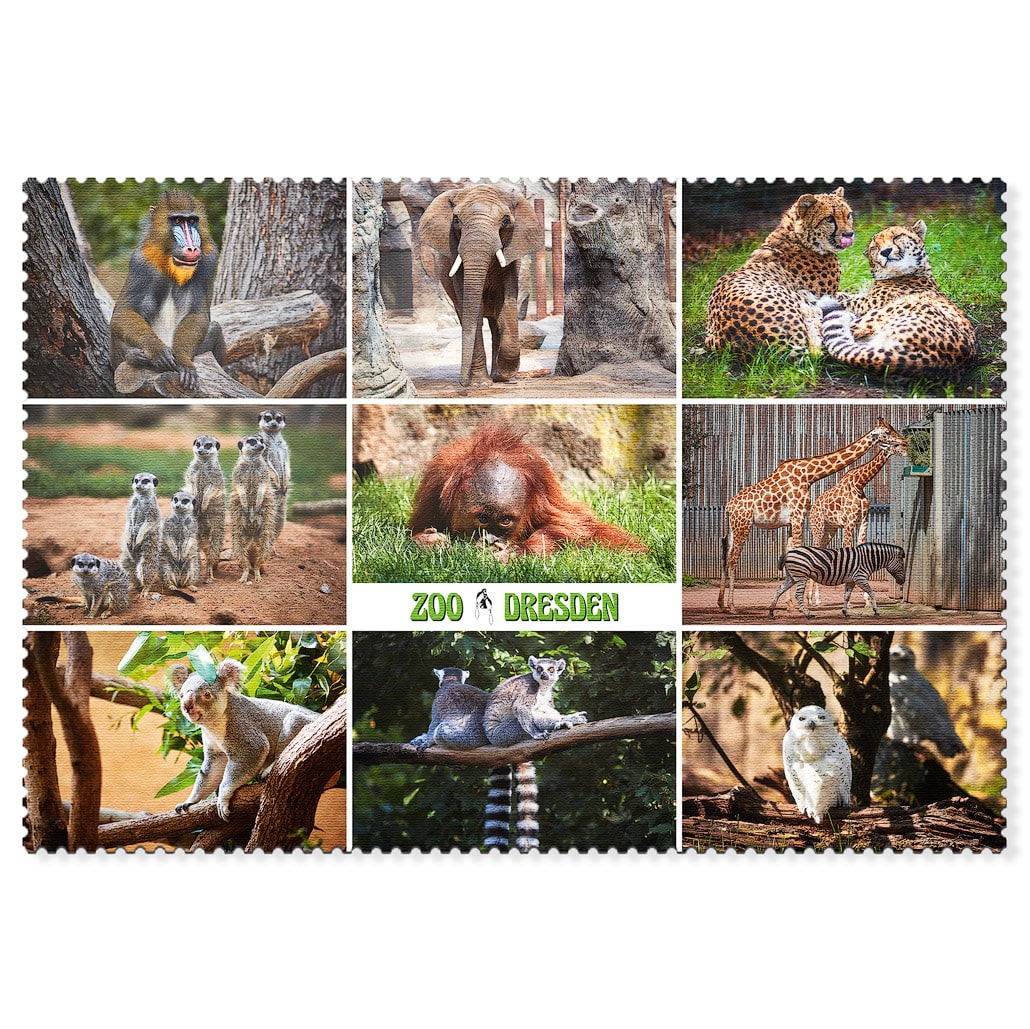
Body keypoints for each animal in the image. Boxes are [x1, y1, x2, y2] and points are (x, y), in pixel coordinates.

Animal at [418, 183, 544, 387]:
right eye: (456, 220)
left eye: (506, 220)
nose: (462, 383)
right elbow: (472, 311)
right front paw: (480, 384)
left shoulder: (511, 259)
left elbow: (507, 304)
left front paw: (505, 374)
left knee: (495, 324)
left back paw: (500, 376)